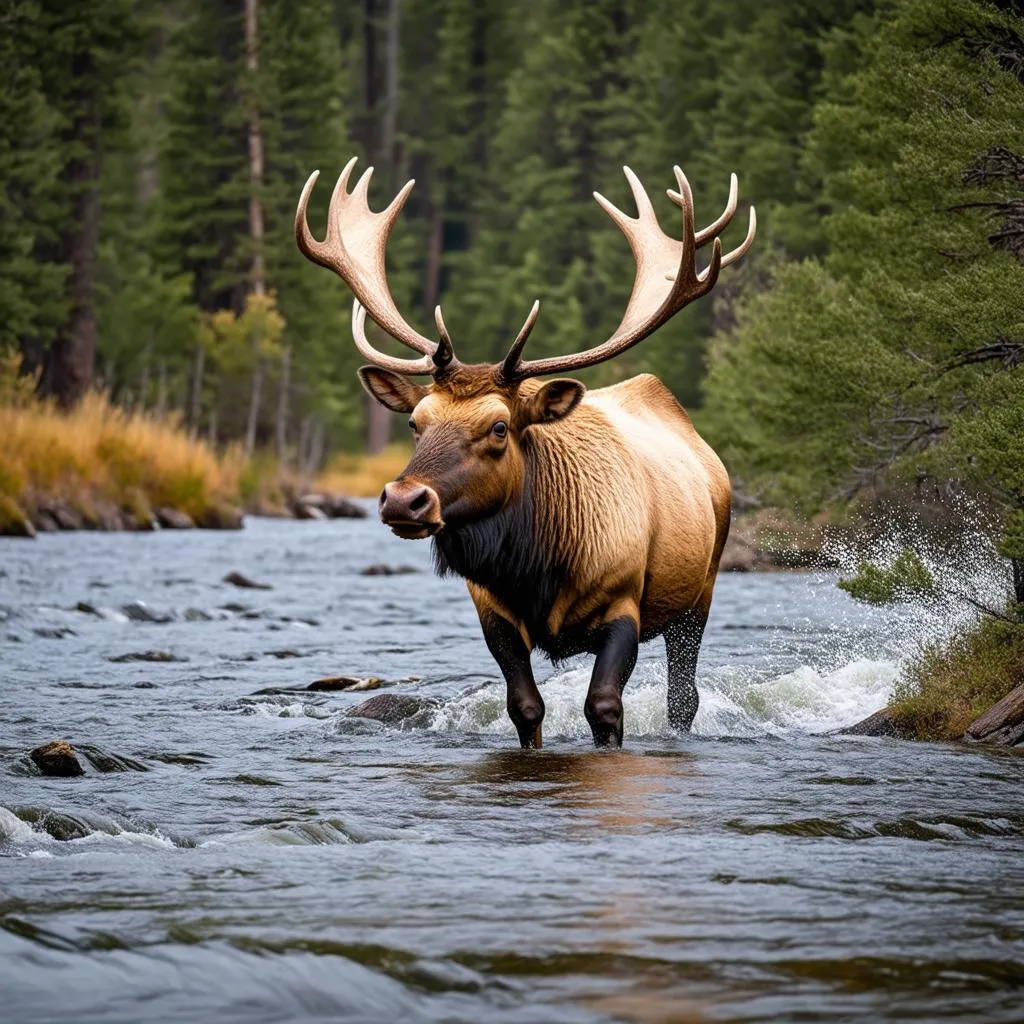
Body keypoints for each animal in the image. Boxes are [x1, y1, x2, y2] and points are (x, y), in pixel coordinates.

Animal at [296, 161, 753, 753]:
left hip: (701, 590)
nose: (403, 500)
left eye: (498, 427)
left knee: (683, 697)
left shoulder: (623, 600)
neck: (537, 567)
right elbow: (525, 707)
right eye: (415, 422)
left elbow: (605, 707)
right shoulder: (493, 612)